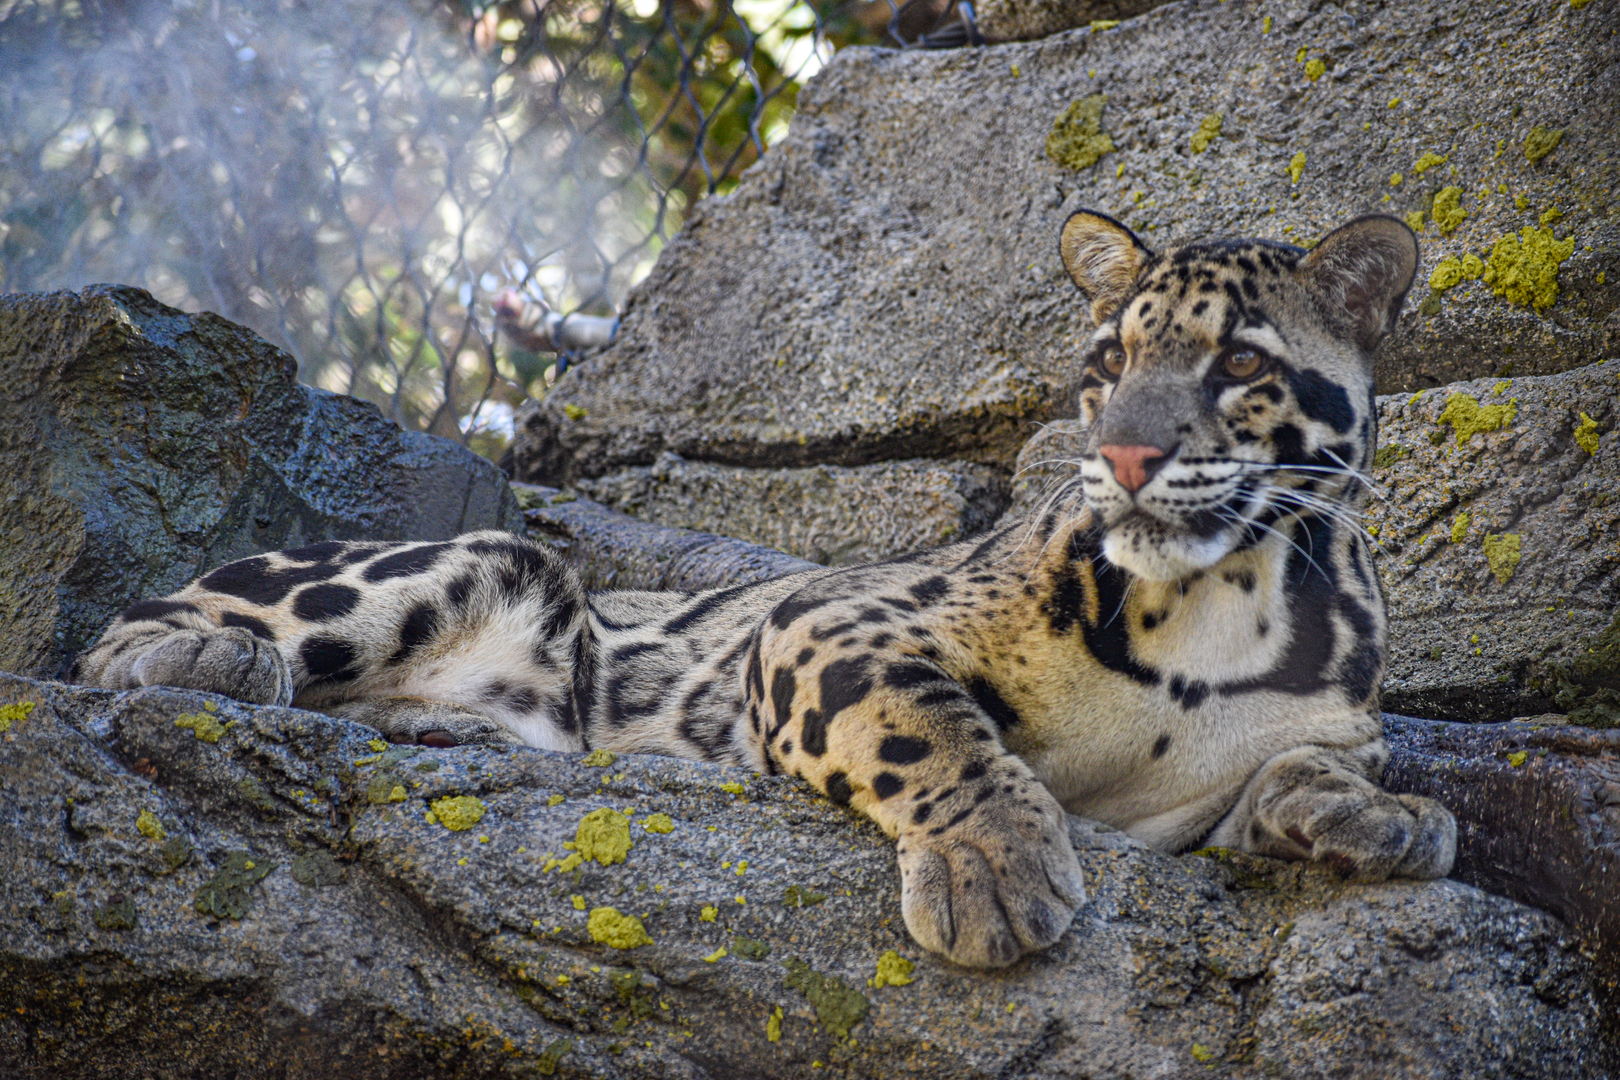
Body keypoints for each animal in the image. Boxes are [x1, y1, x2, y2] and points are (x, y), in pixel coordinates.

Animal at [76, 209, 1457, 969]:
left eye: (1241, 365)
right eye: (1107, 362)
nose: (1122, 456)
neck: (1230, 595)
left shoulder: (1232, 781)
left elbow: (1312, 769)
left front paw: (1381, 820)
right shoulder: (831, 619)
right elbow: (934, 730)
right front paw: (993, 870)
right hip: (480, 561)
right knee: (120, 637)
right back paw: (210, 660)